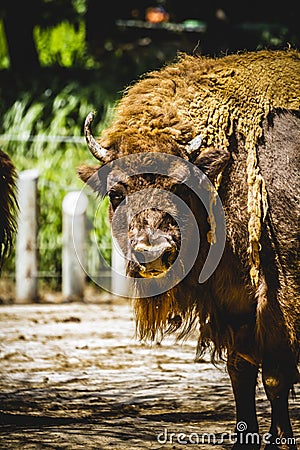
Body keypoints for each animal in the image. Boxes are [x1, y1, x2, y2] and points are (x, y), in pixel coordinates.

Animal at [79, 49, 300, 446]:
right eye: (117, 193)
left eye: (181, 187)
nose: (153, 250)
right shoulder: (233, 301)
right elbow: (241, 371)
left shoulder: (279, 295)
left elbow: (276, 376)